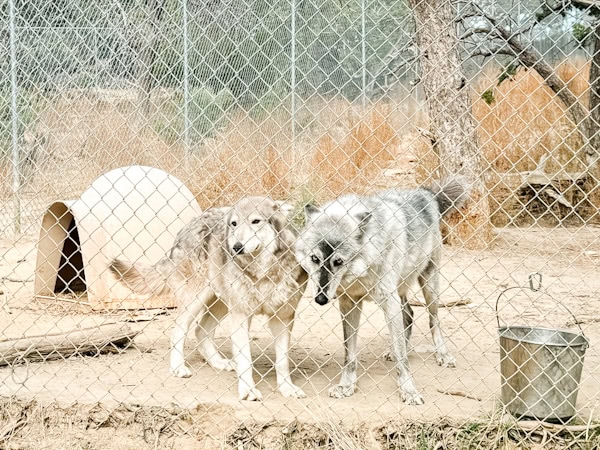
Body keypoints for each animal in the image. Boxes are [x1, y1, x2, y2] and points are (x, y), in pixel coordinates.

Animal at [110, 197, 310, 400]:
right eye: (234, 224)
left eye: (256, 221)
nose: (236, 247)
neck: (262, 273)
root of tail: (188, 225)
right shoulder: (241, 315)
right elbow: (245, 360)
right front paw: (248, 390)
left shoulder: (283, 317)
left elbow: (282, 361)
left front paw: (287, 388)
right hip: (197, 299)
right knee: (179, 331)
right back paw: (178, 368)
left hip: (220, 303)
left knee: (200, 330)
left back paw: (219, 363)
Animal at [298, 178, 472, 406]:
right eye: (315, 258)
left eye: (338, 262)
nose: (320, 299)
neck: (362, 273)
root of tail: (427, 193)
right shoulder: (349, 303)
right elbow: (349, 354)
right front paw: (346, 385)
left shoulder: (388, 301)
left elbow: (402, 358)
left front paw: (409, 391)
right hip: (400, 291)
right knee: (409, 314)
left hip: (428, 286)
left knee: (433, 320)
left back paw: (442, 354)